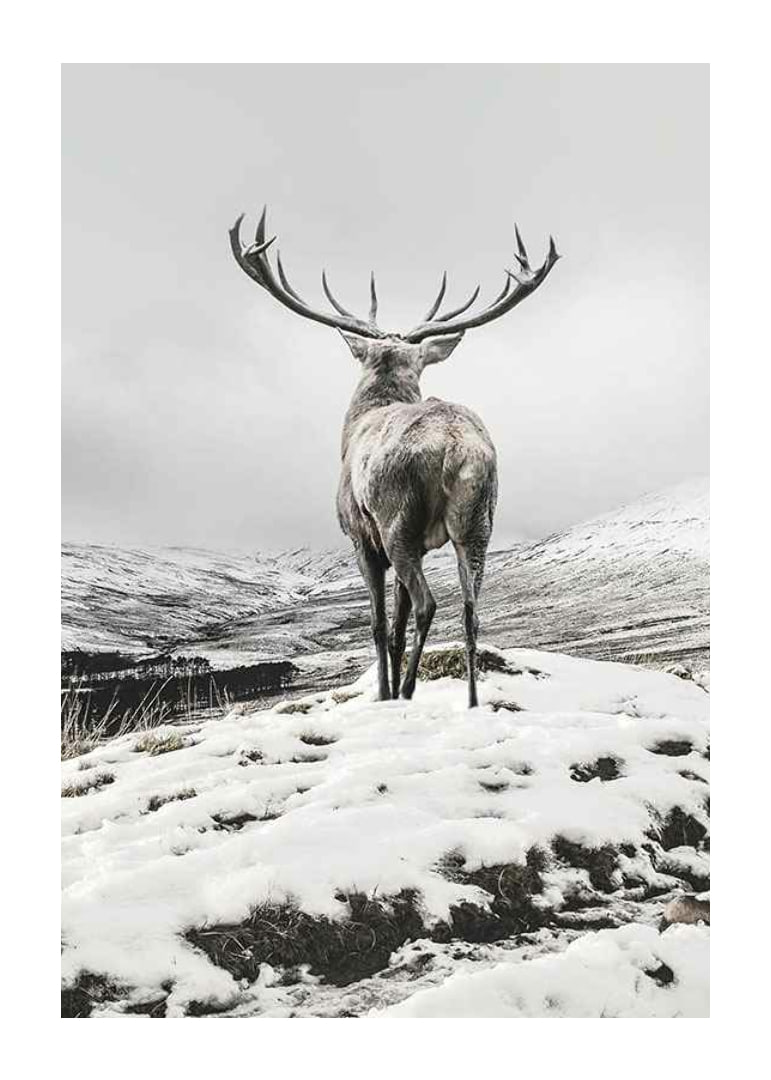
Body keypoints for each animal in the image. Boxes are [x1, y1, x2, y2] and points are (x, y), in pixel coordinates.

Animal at [230, 208, 559, 708]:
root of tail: (455, 447)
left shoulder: (360, 537)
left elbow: (381, 624)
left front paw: (383, 694)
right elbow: (398, 627)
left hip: (397, 520)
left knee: (428, 603)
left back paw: (405, 692)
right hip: (478, 521)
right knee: (471, 611)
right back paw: (470, 702)